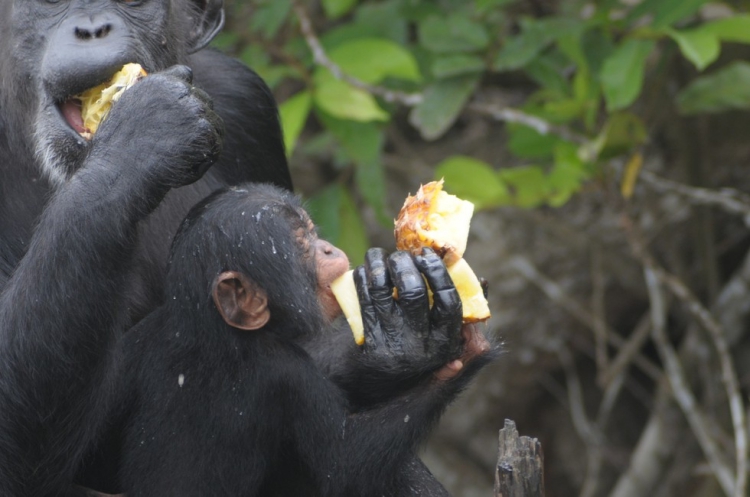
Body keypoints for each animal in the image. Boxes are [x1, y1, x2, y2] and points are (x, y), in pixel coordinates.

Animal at [106, 184, 490, 494]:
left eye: (310, 230)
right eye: (304, 244)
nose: (327, 249)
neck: (210, 329)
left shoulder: (140, 339)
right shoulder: (287, 373)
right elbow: (344, 461)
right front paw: (454, 350)